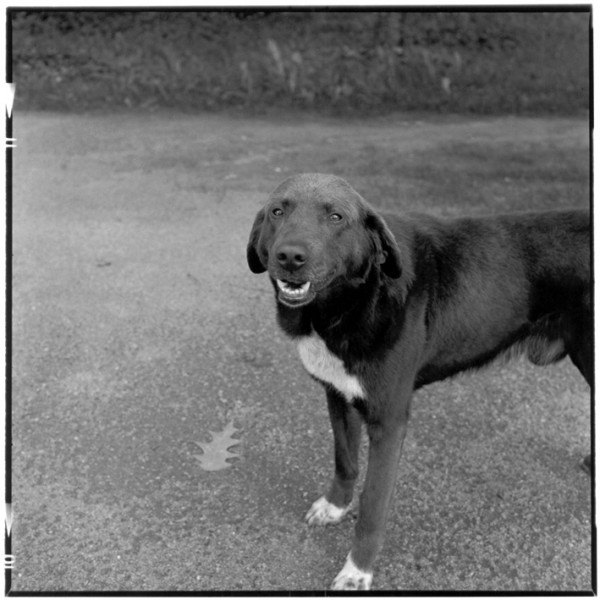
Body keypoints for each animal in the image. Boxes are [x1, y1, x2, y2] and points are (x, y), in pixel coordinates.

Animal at [246, 173, 591, 590]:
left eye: (336, 216)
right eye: (277, 211)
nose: (290, 257)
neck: (357, 300)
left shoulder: (389, 420)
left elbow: (372, 508)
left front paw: (358, 570)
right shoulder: (338, 396)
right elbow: (345, 462)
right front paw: (335, 506)